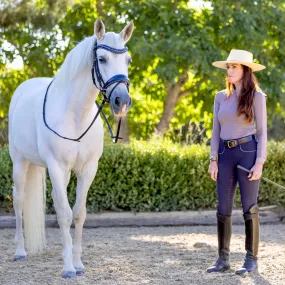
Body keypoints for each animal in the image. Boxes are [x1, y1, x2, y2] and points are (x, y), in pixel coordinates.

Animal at [8, 18, 133, 278]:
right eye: (102, 59)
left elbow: (78, 213)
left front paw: (77, 263)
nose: (122, 102)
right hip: (19, 162)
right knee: (19, 201)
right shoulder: (56, 166)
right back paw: (20, 251)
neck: (76, 116)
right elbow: (65, 214)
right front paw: (67, 268)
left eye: (128, 60)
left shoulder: (88, 169)